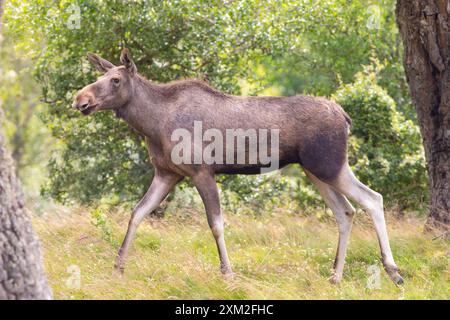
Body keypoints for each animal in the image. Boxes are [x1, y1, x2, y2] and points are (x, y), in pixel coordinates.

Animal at [74, 48, 404, 284]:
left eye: (115, 80)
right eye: (101, 77)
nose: (81, 99)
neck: (152, 125)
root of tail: (345, 117)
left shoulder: (202, 171)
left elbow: (216, 224)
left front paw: (228, 272)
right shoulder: (167, 174)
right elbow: (137, 213)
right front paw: (118, 268)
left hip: (330, 165)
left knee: (372, 199)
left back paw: (393, 270)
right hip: (316, 171)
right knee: (345, 211)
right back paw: (335, 275)